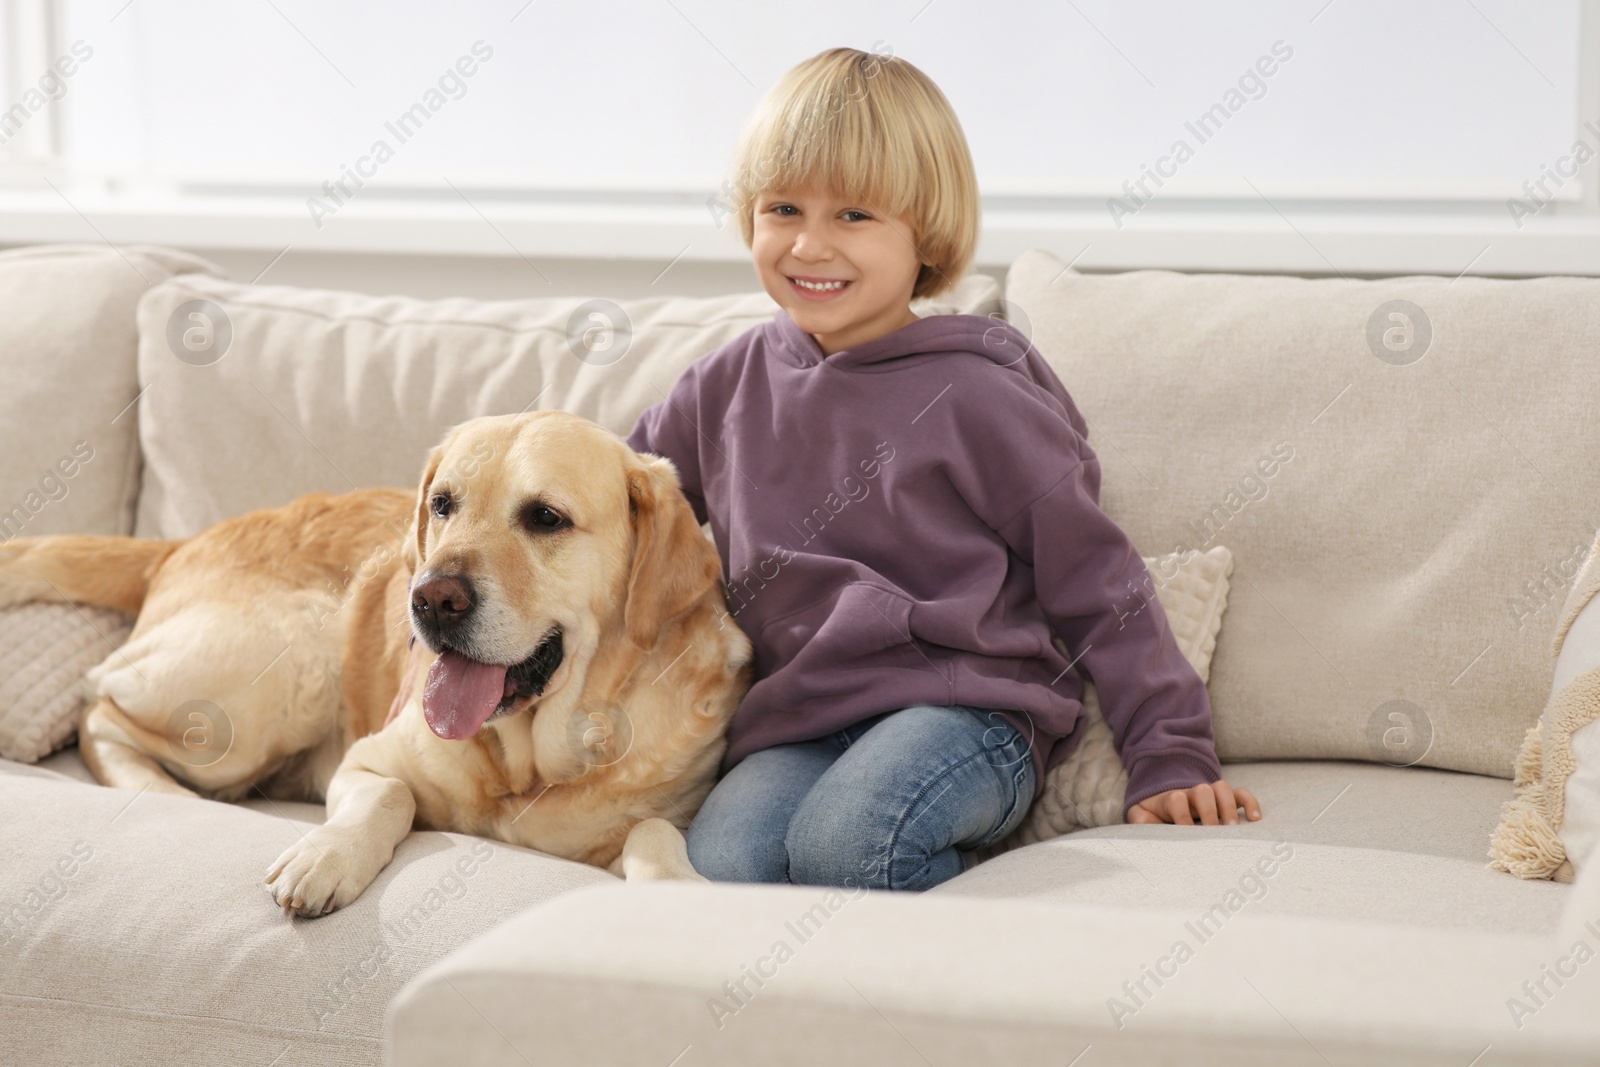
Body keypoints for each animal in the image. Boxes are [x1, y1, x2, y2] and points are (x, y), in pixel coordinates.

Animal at [0, 412, 755, 915]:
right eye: (443, 504)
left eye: (546, 517)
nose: (432, 598)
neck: (527, 764)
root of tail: (182, 541)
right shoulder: (365, 761)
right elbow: (391, 795)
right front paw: (325, 855)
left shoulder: (666, 807)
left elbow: (653, 830)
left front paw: (680, 893)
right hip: (281, 679)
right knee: (101, 710)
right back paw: (163, 790)